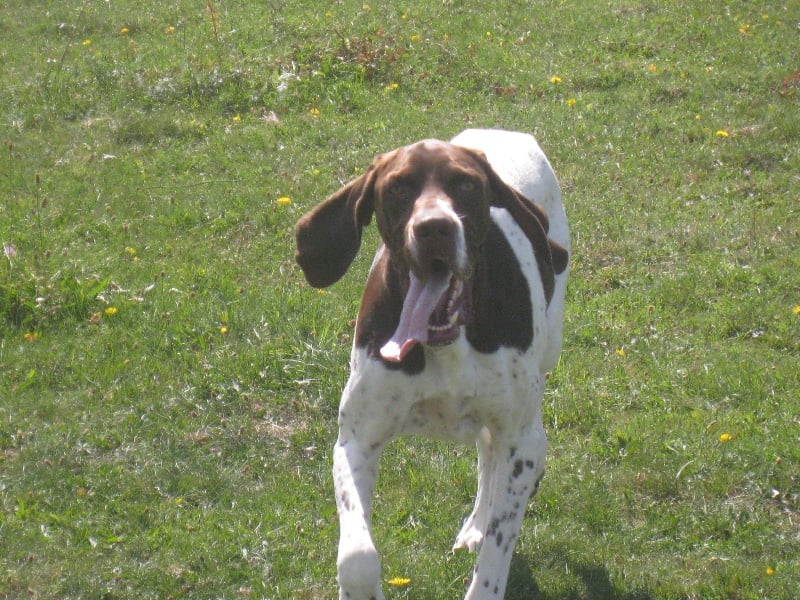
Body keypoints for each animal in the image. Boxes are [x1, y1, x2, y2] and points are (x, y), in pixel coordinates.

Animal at [296, 129, 568, 596]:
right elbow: (357, 558)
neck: (445, 341)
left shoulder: (521, 440)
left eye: (466, 185)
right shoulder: (356, 440)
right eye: (398, 188)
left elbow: (496, 554)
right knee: (487, 450)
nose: (434, 228)